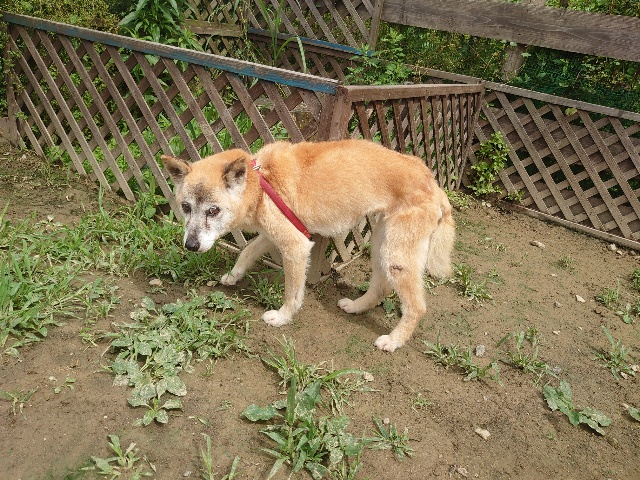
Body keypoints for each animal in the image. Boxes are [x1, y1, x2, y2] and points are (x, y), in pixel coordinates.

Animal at [161, 139, 455, 352]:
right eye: (186, 207)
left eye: (213, 210)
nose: (190, 245)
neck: (262, 185)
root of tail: (434, 184)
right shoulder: (273, 234)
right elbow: (246, 252)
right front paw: (233, 276)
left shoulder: (296, 246)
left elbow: (292, 293)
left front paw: (282, 318)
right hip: (381, 247)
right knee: (381, 288)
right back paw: (356, 307)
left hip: (396, 257)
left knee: (416, 308)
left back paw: (394, 341)